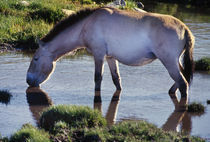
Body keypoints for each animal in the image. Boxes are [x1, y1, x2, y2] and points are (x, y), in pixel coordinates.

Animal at [26, 6, 195, 106]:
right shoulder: (110, 58)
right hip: (174, 61)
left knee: (183, 83)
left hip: (168, 61)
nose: (28, 80)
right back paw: (171, 91)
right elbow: (116, 80)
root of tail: (185, 29)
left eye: (35, 59)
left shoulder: (99, 54)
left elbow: (97, 78)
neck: (87, 24)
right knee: (182, 79)